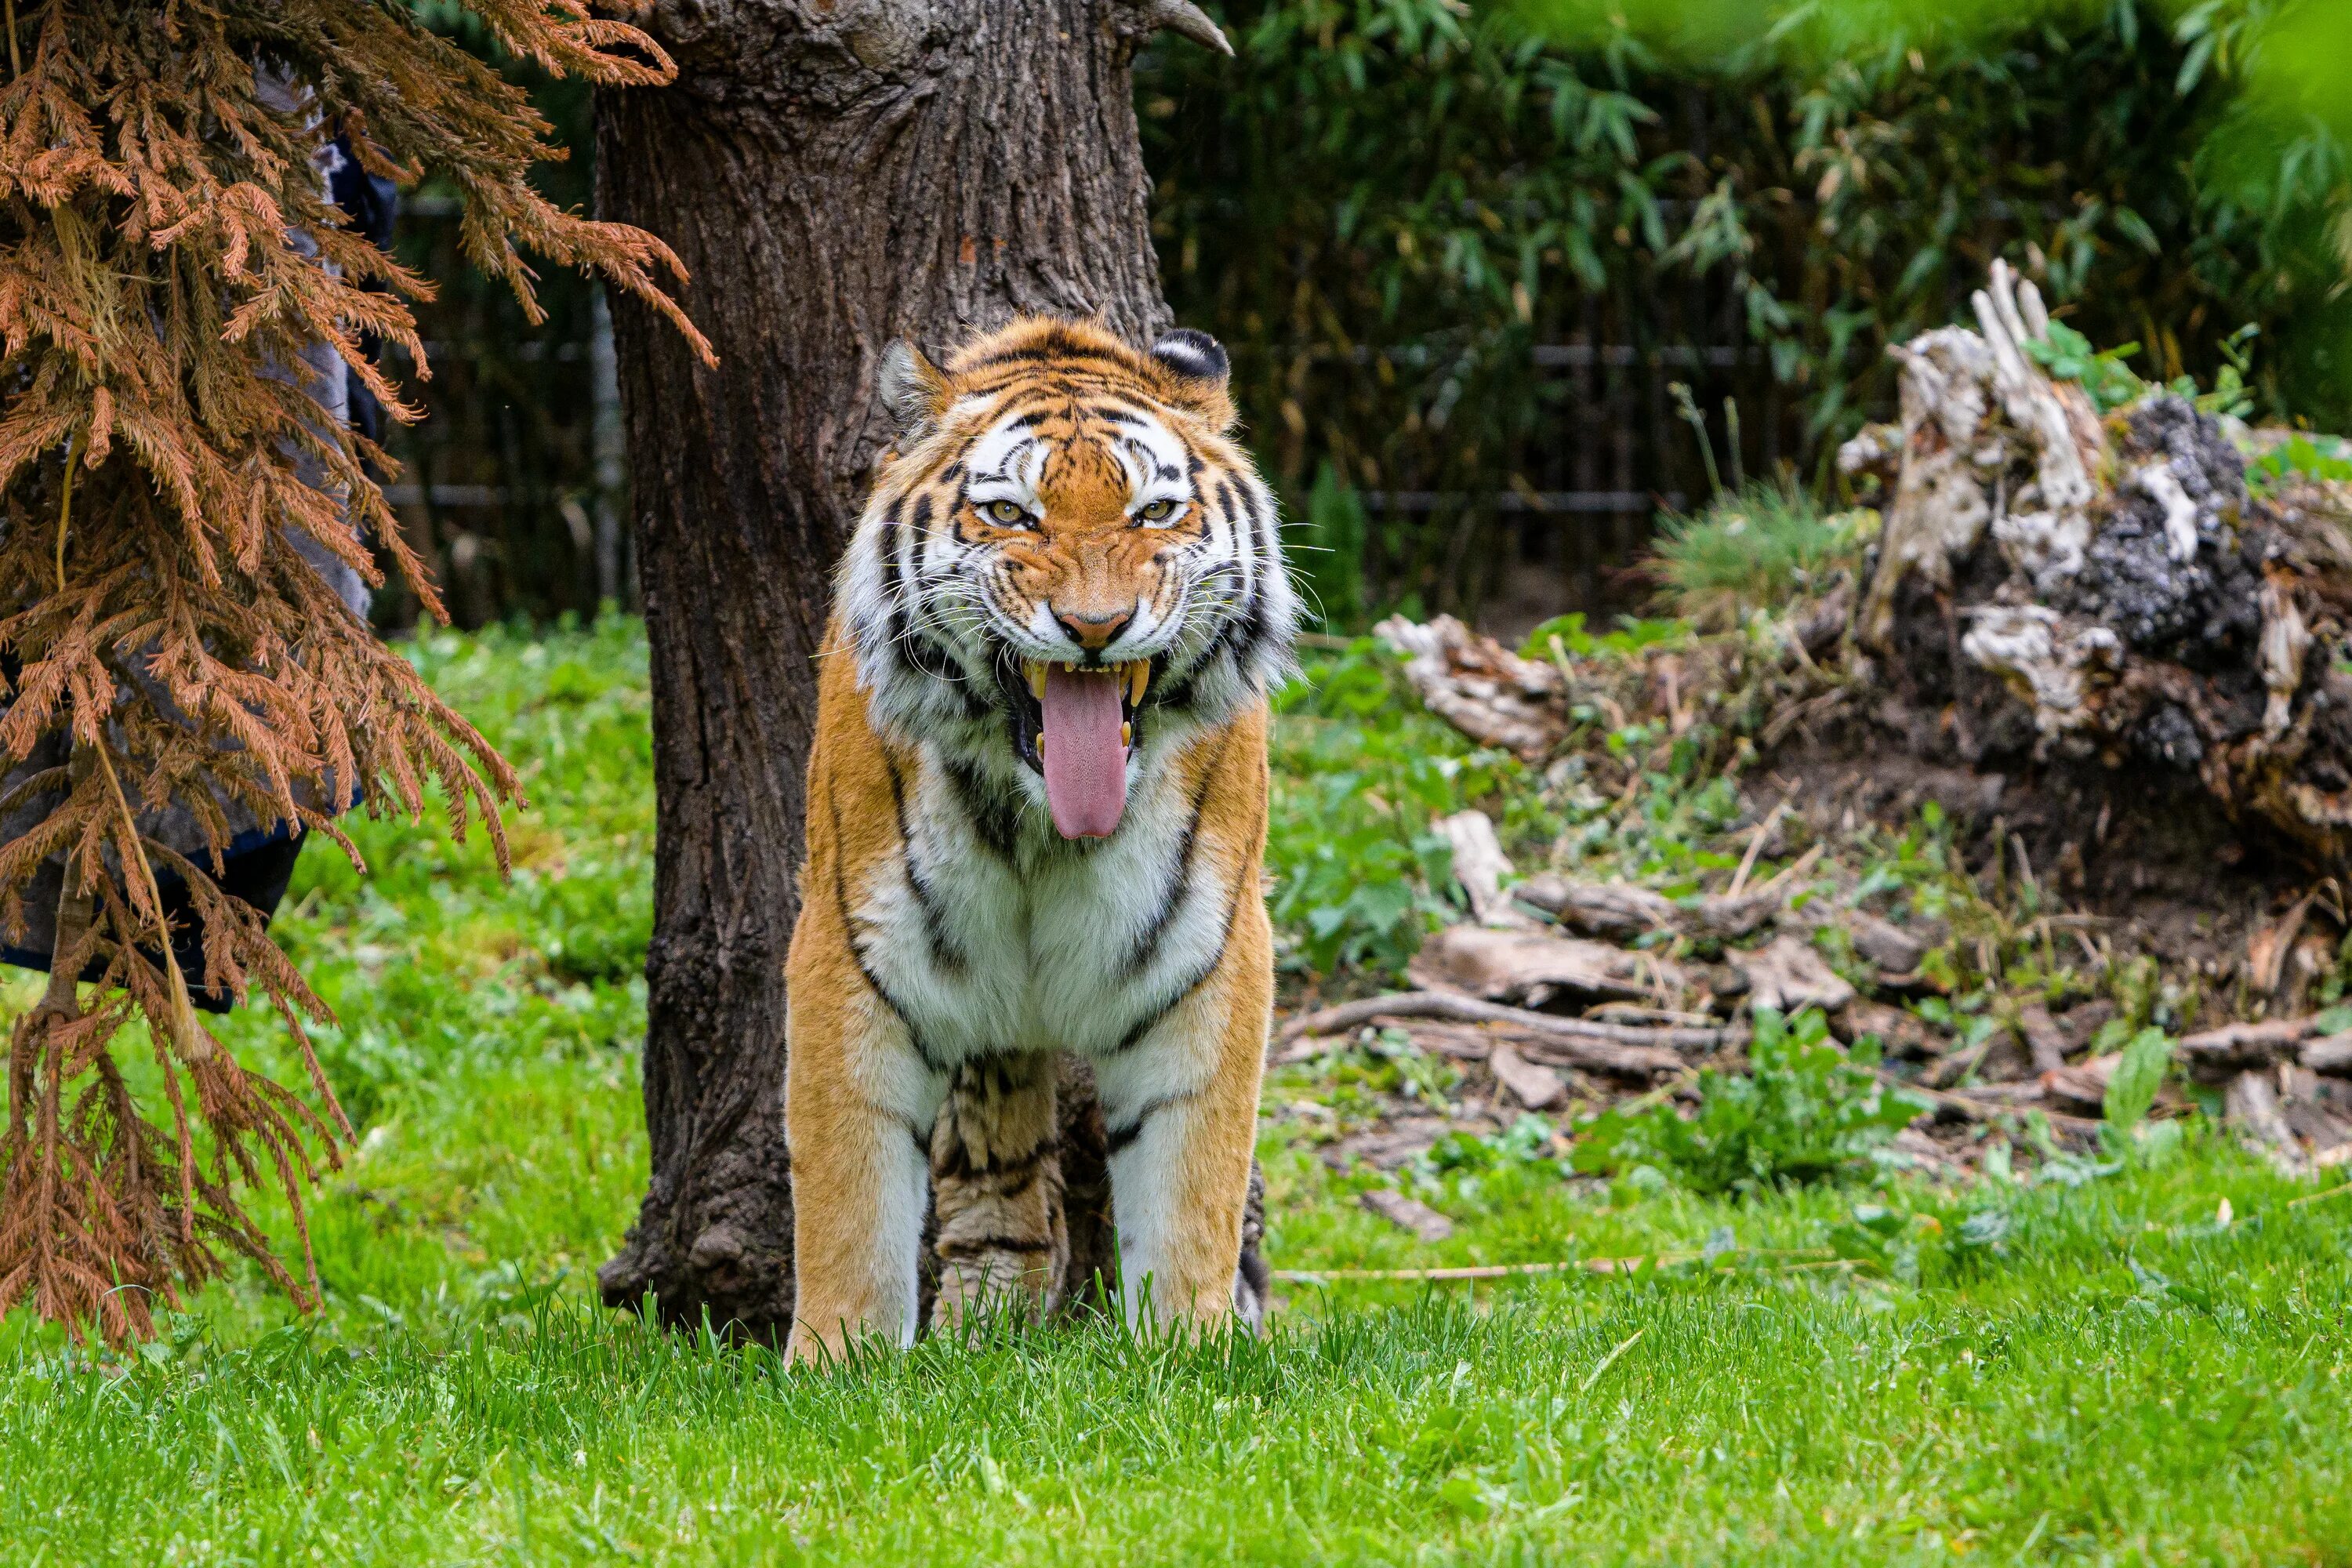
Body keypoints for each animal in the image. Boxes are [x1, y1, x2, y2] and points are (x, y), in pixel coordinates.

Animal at [790, 310, 1308, 1363]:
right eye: (1011, 515)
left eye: (1154, 513)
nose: (1096, 627)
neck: (1044, 830)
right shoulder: (851, 951)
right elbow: (847, 1198)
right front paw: (834, 1365)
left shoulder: (1207, 960)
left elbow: (1191, 1192)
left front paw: (1191, 1349)